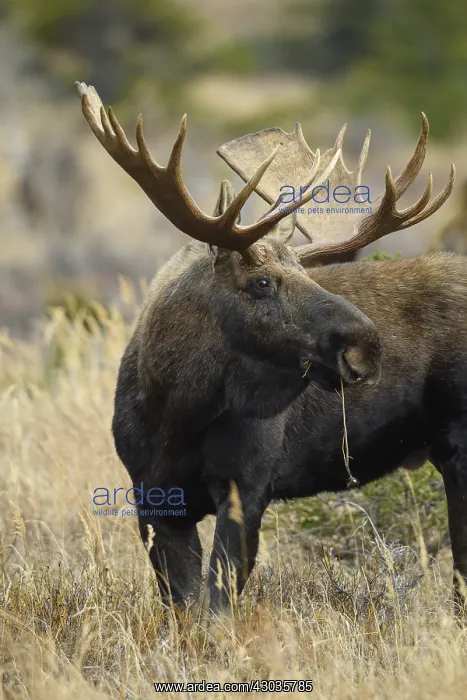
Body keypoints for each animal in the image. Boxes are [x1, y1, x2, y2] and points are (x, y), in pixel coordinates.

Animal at [74, 82, 461, 617]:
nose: (367, 347)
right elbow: (184, 606)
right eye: (261, 282)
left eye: (306, 271)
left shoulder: (248, 485)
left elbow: (218, 603)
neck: (177, 410)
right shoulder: (152, 496)